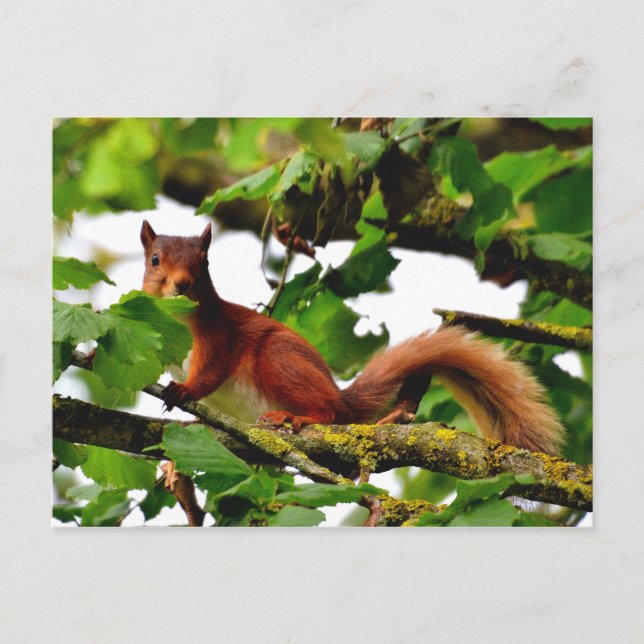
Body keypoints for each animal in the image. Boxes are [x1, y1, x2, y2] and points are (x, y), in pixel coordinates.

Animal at [141, 221, 565, 455]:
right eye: (155, 260)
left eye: (204, 262)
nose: (183, 283)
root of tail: (340, 396)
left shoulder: (220, 334)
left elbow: (212, 370)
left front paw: (185, 390)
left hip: (278, 360)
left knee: (327, 413)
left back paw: (294, 416)